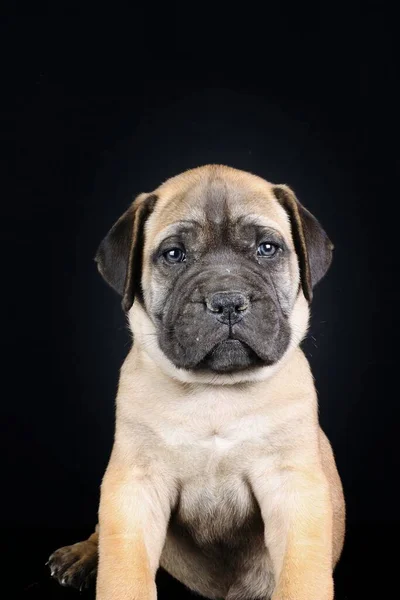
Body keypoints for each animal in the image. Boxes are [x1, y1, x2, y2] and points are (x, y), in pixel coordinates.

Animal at [48, 165, 346, 600]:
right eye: (174, 254)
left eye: (267, 249)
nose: (228, 302)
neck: (215, 394)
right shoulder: (135, 482)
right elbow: (124, 570)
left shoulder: (293, 486)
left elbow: (300, 575)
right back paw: (83, 555)